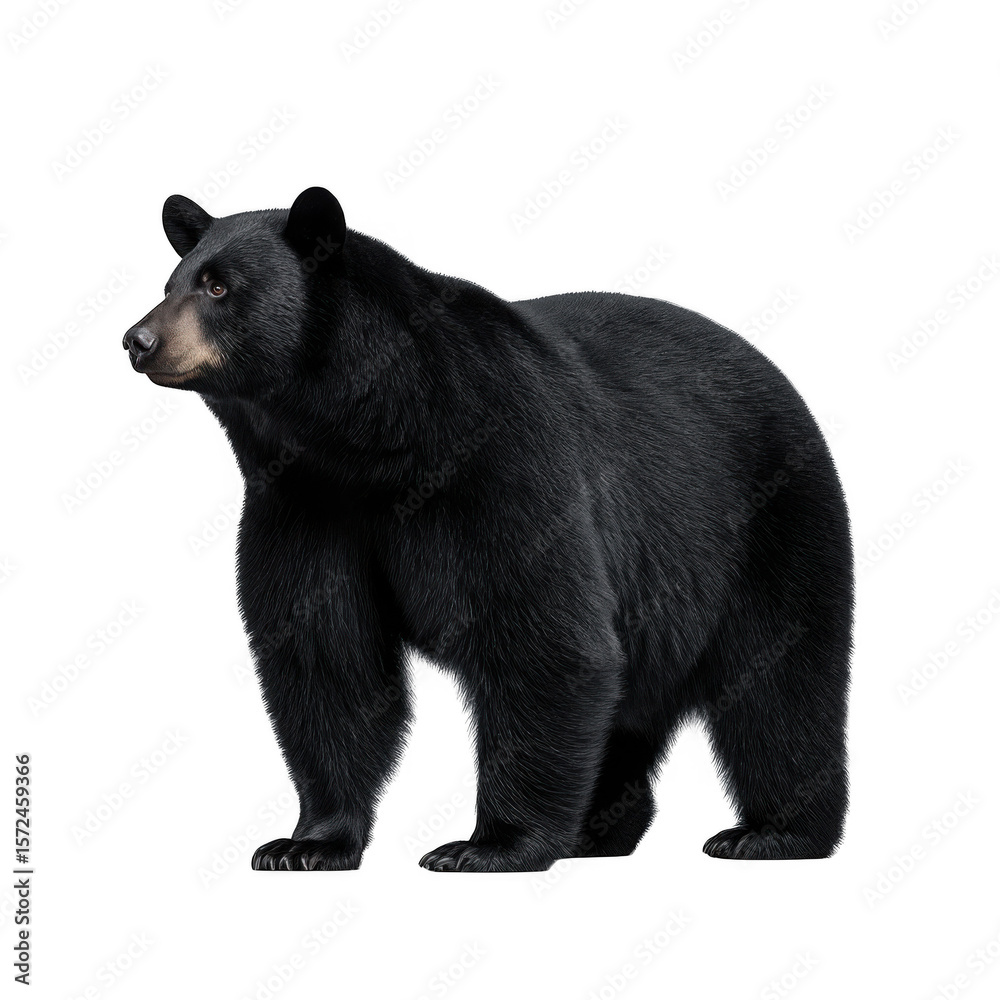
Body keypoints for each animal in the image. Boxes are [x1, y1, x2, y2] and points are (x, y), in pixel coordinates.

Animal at [123, 186, 853, 872]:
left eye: (220, 286)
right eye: (171, 282)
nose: (138, 340)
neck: (370, 439)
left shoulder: (501, 463)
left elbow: (544, 640)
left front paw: (488, 845)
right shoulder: (307, 504)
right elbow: (327, 659)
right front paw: (306, 842)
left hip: (765, 525)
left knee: (781, 681)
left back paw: (771, 832)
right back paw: (597, 829)